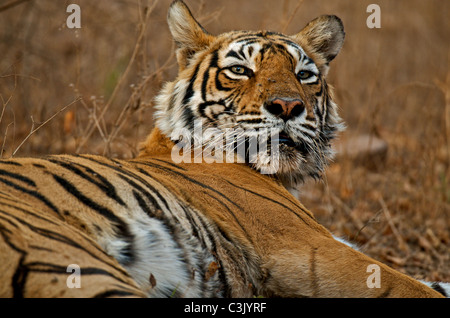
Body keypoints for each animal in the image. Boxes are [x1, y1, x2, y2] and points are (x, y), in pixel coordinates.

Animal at [0, 0, 448, 298]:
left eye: (304, 74)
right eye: (239, 70)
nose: (288, 106)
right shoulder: (304, 246)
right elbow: (414, 287)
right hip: (72, 260)